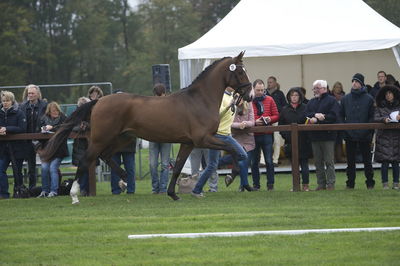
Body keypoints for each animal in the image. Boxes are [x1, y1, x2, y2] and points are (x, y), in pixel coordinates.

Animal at [42, 51, 252, 203]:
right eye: (240, 72)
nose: (249, 95)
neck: (199, 100)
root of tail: (99, 101)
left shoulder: (188, 143)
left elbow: (177, 167)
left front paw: (173, 194)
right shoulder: (203, 139)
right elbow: (234, 150)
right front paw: (231, 177)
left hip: (123, 138)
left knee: (105, 156)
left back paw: (124, 178)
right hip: (101, 138)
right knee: (87, 159)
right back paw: (75, 195)